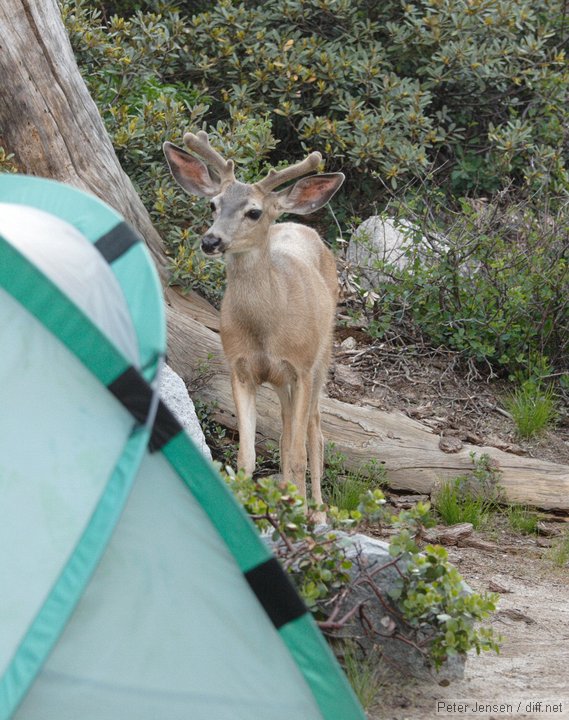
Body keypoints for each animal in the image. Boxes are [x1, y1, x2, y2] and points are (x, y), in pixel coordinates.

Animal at [162, 132, 344, 516]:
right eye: (213, 205)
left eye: (254, 212)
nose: (210, 240)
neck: (267, 329)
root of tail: (299, 223)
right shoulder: (240, 367)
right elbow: (247, 458)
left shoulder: (301, 367)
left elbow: (298, 456)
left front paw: (300, 517)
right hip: (283, 382)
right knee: (288, 432)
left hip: (322, 355)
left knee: (315, 431)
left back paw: (318, 510)